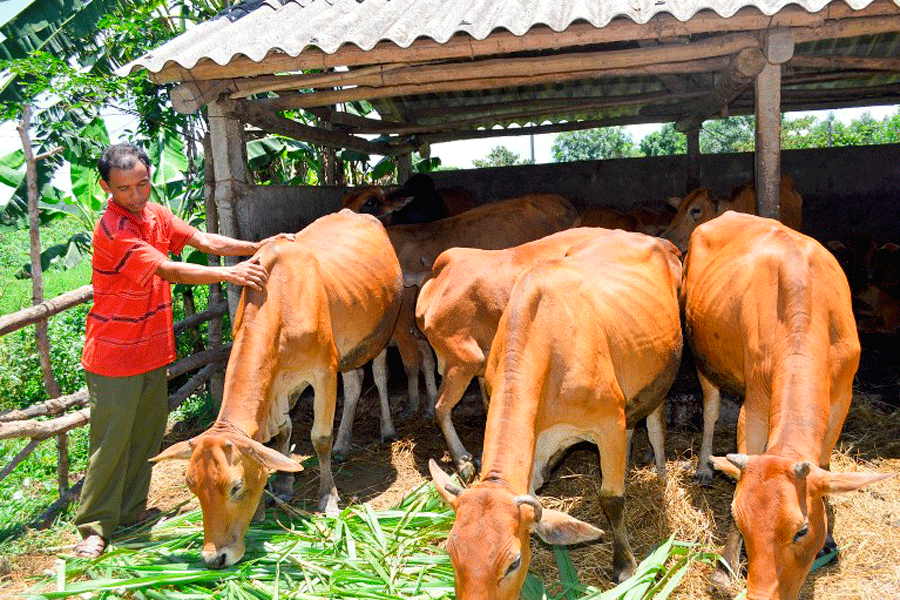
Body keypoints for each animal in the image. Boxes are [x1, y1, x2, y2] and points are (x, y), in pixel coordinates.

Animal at [151, 211, 400, 568]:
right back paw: (344, 444)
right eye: (191, 486)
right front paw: (281, 486)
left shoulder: (323, 371)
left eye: (236, 487)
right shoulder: (280, 384)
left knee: (377, 375)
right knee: (354, 385)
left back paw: (386, 429)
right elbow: (282, 433)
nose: (215, 558)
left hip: (378, 334)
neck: (281, 302)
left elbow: (319, 438)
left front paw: (328, 498)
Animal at [680, 212, 888, 600]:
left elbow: (824, 463)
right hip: (703, 356)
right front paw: (725, 566)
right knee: (711, 407)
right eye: (738, 518)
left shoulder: (843, 394)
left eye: (802, 530)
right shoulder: (756, 401)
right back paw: (703, 467)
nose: (761, 593)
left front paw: (828, 540)